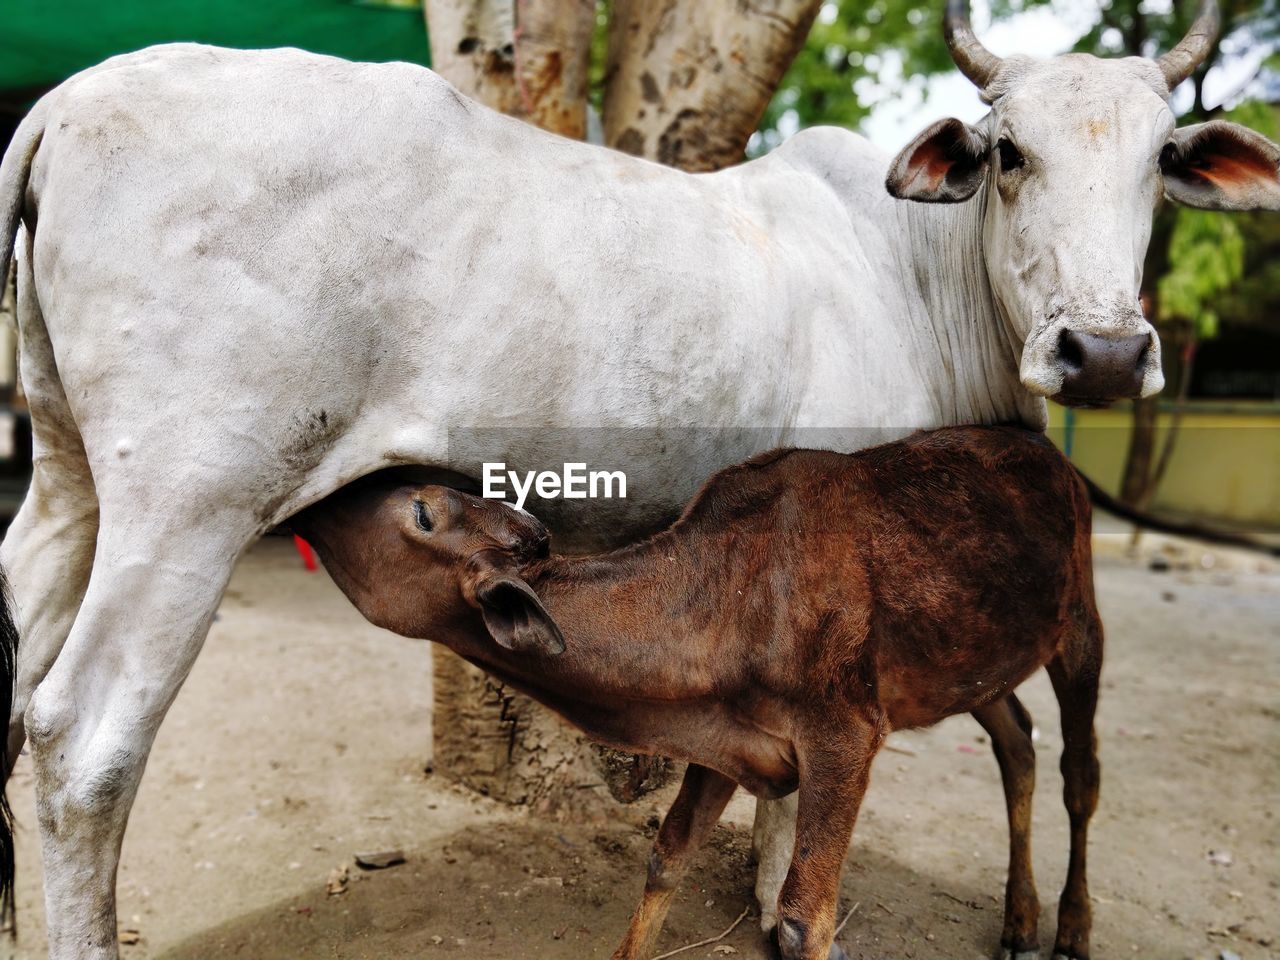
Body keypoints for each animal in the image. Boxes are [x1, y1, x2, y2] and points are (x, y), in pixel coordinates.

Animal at [294, 427, 1105, 960]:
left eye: (421, 511)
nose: (323, 494)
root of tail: (1049, 449)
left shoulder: (845, 732)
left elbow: (804, 918)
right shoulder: (729, 739)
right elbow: (668, 855)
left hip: (1078, 628)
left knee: (1080, 774)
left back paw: (1071, 927)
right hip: (975, 660)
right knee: (1018, 743)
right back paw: (1019, 919)